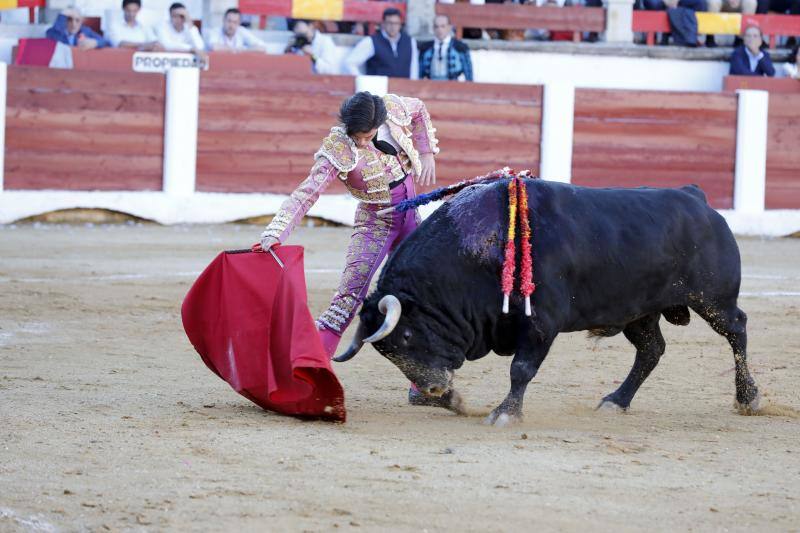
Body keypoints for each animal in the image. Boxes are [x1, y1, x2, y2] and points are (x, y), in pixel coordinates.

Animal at [334, 179, 760, 424]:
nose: (435, 390)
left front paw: (505, 414)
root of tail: (696, 198)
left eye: (406, 338)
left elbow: (521, 369)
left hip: (713, 299)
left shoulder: (541, 324)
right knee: (651, 350)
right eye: (387, 352)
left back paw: (749, 398)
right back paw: (615, 401)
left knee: (736, 330)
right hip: (638, 312)